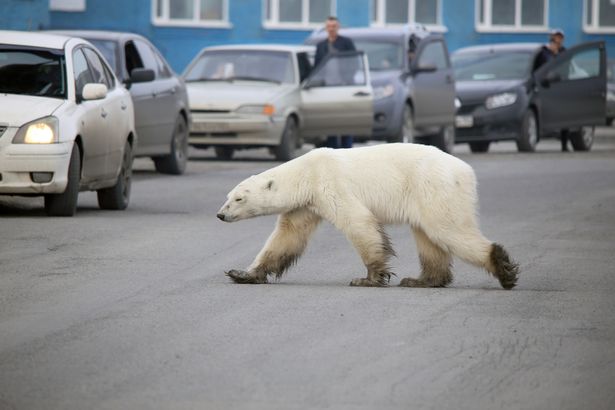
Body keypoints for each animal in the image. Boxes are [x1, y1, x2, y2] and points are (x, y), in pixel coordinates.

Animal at [217, 143, 520, 288]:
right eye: (228, 196)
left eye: (239, 198)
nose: (220, 215)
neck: (306, 173)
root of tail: (466, 170)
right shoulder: (305, 205)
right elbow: (287, 237)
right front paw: (242, 273)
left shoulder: (331, 184)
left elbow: (358, 223)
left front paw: (369, 278)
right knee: (428, 237)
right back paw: (421, 280)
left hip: (434, 187)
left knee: (448, 229)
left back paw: (503, 268)